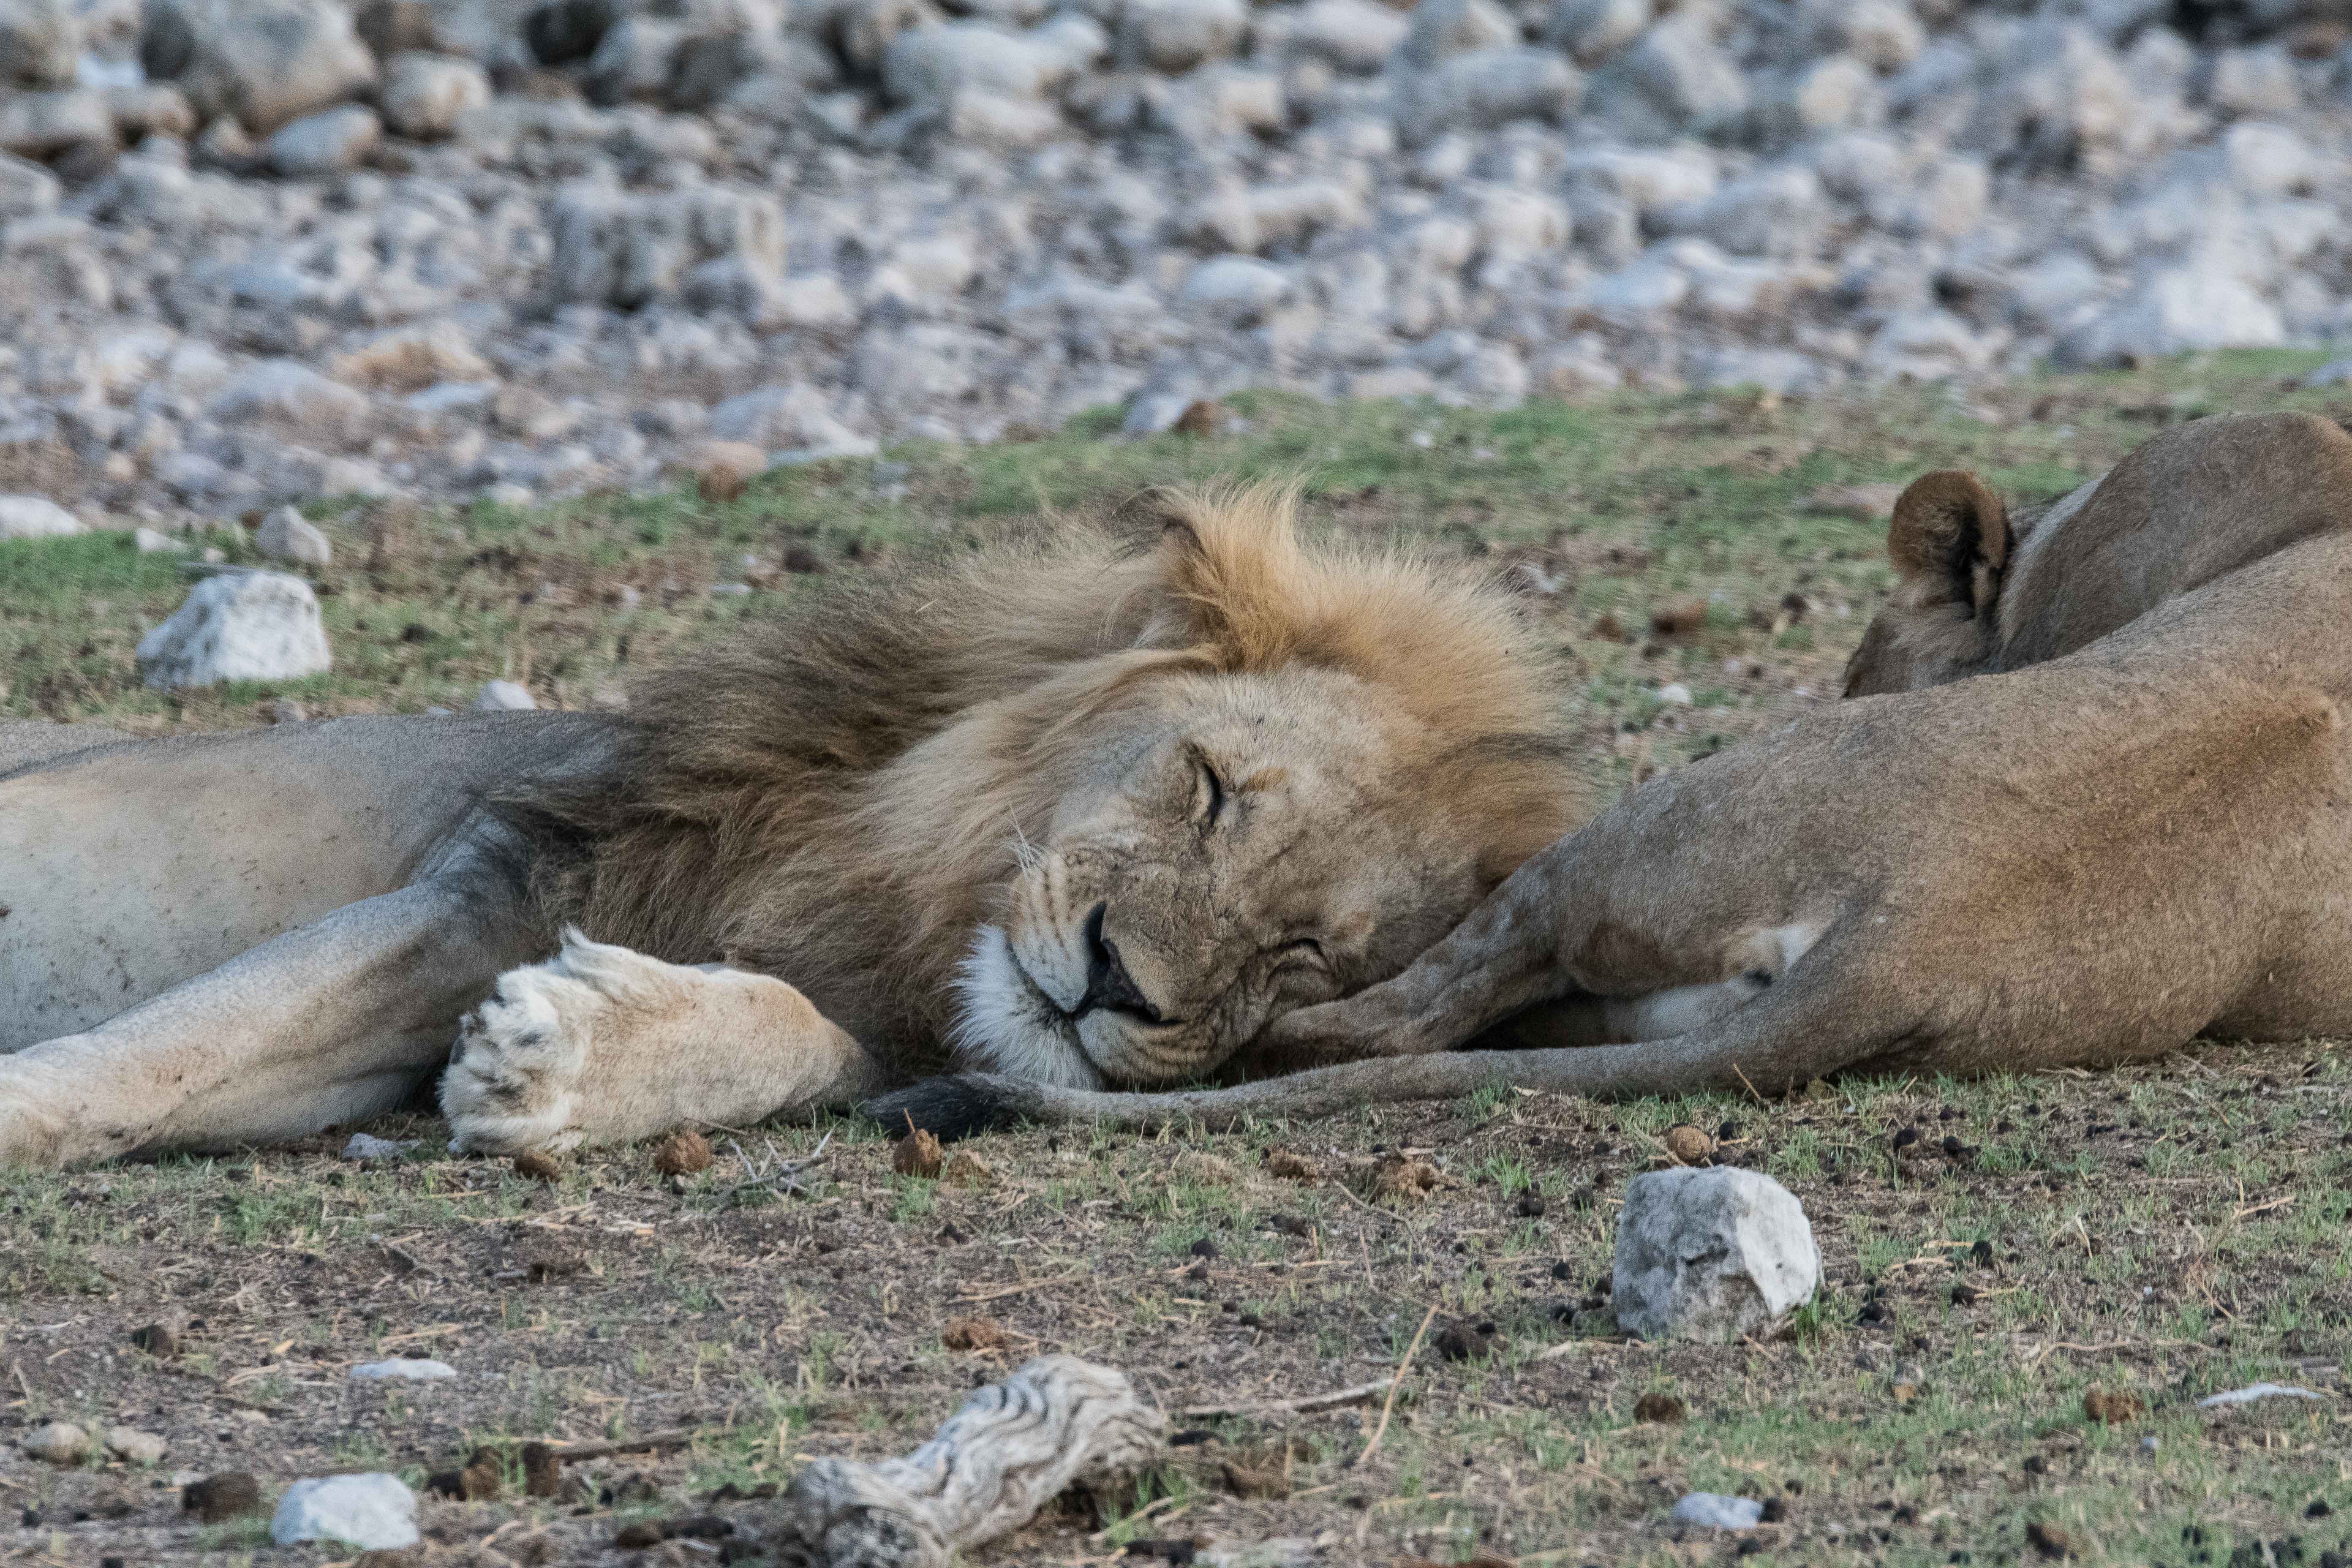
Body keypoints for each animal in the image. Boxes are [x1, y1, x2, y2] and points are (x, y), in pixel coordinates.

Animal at [0, 491, 1590, 1166]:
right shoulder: (486, 883)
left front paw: (561, 1057)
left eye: (1303, 951)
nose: (1114, 982)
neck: (894, 886)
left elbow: (799, 1040)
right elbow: (162, 1052)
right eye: (1205, 786)